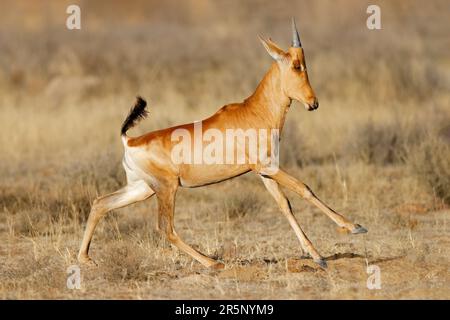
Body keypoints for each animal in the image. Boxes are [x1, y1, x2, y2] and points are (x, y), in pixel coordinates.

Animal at [77, 18, 366, 268]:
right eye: (296, 66)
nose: (313, 103)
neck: (254, 110)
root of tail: (130, 140)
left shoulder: (264, 172)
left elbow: (285, 206)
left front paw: (318, 256)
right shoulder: (267, 167)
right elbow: (305, 188)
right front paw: (354, 227)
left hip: (141, 188)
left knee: (101, 203)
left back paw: (86, 259)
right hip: (167, 188)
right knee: (165, 228)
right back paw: (213, 263)